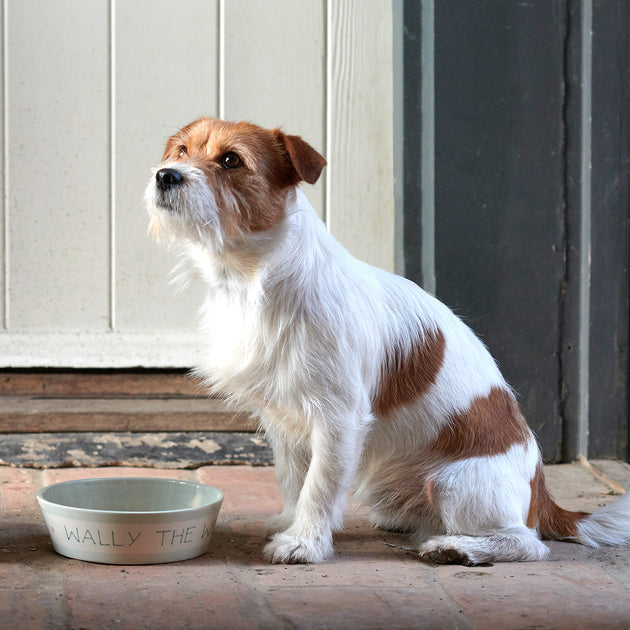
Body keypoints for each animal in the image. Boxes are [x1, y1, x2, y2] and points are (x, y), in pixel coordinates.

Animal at [144, 118, 630, 568]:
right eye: (182, 151)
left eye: (231, 160)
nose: (166, 174)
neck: (254, 279)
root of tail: (542, 495)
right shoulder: (283, 417)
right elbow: (293, 478)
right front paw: (290, 523)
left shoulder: (339, 420)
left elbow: (318, 485)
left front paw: (304, 543)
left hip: (454, 483)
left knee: (527, 543)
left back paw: (455, 548)